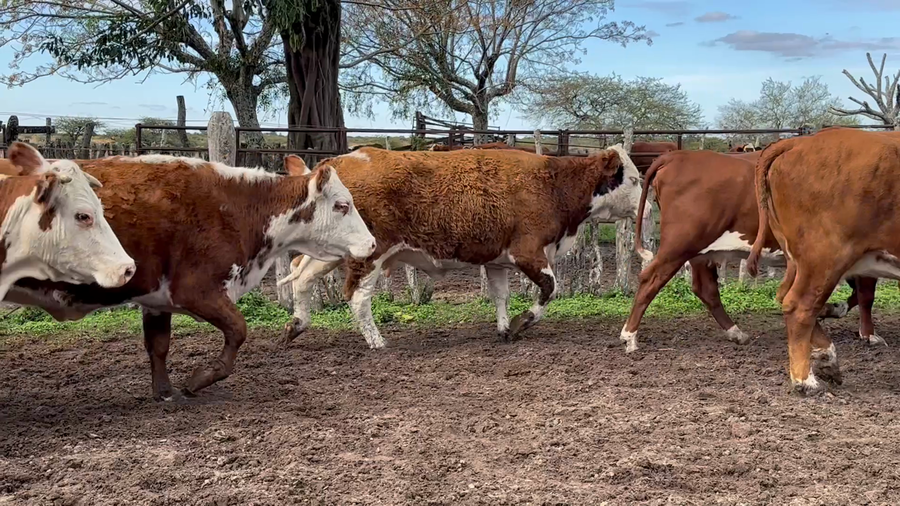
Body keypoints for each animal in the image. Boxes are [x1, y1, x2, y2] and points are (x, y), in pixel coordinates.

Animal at [4, 154, 376, 401]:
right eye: (342, 205)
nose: (372, 243)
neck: (237, 207)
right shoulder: (197, 291)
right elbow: (238, 330)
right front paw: (199, 379)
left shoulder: (156, 299)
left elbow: (158, 346)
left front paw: (164, 392)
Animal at [277, 146, 642, 349]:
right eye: (635, 179)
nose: (647, 206)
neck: (553, 183)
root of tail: (339, 162)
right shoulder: (528, 252)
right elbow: (550, 289)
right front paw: (522, 323)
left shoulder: (497, 260)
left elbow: (500, 296)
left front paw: (504, 329)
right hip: (369, 254)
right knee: (357, 297)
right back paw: (376, 342)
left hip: (334, 251)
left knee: (301, 277)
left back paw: (296, 326)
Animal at [620, 148, 877, 354]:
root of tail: (677, 155)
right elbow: (866, 295)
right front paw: (868, 334)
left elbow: (858, 294)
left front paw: (835, 310)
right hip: (680, 244)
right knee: (650, 279)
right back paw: (630, 336)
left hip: (701, 252)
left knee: (705, 288)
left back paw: (735, 332)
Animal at [746, 127, 900, 395]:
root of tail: (800, 141)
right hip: (826, 258)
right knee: (799, 305)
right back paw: (804, 379)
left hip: (798, 260)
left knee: (786, 297)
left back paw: (826, 356)